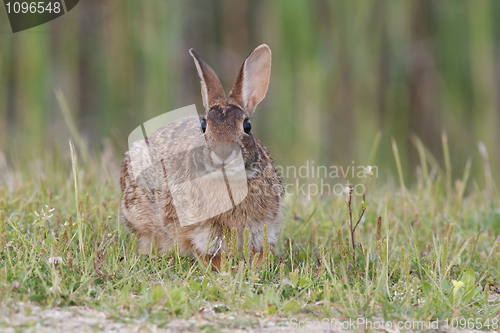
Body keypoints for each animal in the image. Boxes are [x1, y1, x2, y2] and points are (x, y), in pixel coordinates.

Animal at [120, 44, 284, 268]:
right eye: (204, 126)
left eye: (247, 126)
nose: (223, 154)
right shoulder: (197, 231)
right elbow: (205, 252)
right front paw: (224, 269)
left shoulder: (263, 226)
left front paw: (255, 267)